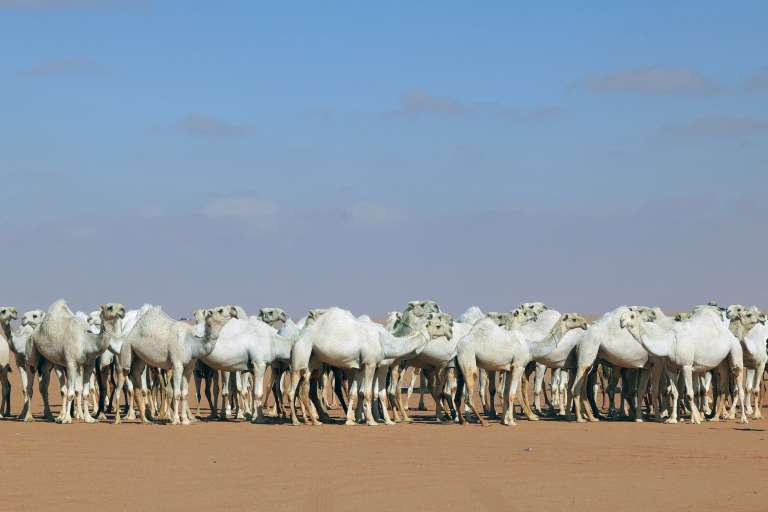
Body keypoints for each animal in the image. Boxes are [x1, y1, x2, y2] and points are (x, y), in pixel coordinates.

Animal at [287, 307, 443, 426]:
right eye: (438, 325)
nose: (448, 332)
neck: (385, 341)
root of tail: (298, 335)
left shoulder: (361, 367)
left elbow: (358, 392)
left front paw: (353, 420)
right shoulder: (372, 364)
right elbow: (371, 393)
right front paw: (374, 421)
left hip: (315, 362)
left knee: (306, 388)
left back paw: (315, 420)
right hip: (301, 355)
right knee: (293, 389)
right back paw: (298, 421)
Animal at [456, 311, 588, 426]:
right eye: (574, 319)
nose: (585, 324)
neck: (530, 347)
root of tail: (458, 346)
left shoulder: (509, 368)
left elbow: (506, 393)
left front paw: (505, 420)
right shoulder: (519, 365)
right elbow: (512, 393)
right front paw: (511, 422)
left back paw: (466, 420)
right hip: (469, 360)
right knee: (469, 397)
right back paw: (484, 422)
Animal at [619, 306, 749, 424]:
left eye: (632, 316)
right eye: (622, 316)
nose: (621, 321)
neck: (669, 343)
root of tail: (732, 336)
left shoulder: (686, 366)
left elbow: (690, 393)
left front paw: (696, 419)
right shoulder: (670, 368)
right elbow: (675, 392)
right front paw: (672, 419)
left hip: (736, 352)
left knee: (739, 384)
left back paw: (743, 418)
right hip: (722, 363)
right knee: (723, 388)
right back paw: (715, 418)